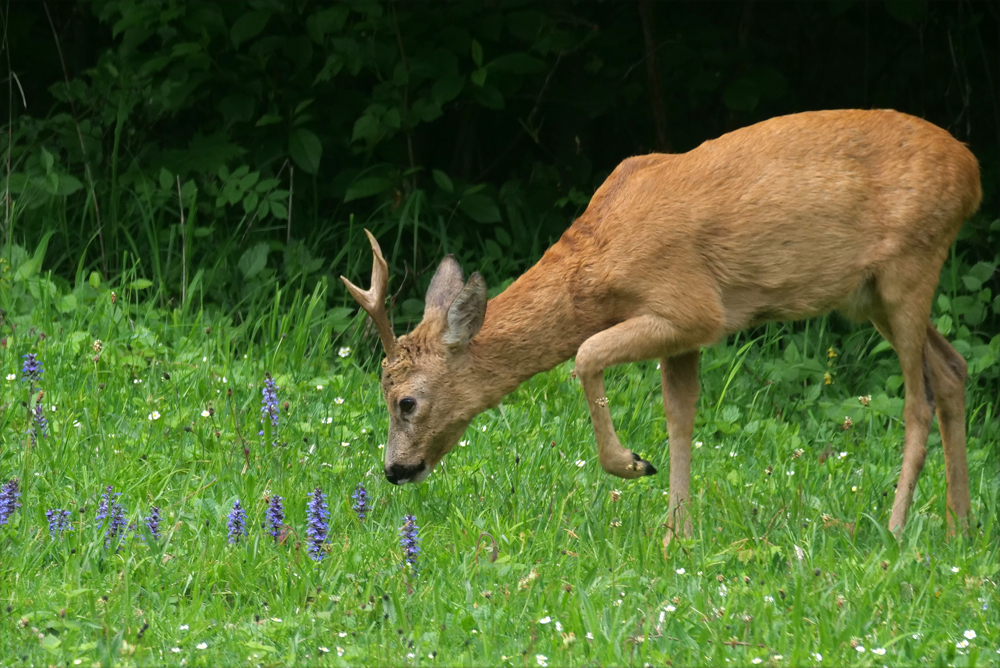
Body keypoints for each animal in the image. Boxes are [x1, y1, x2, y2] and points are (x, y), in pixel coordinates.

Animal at [342, 109, 976, 544]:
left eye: (405, 401)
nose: (395, 469)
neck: (602, 259)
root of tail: (972, 172)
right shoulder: (685, 335)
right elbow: (680, 414)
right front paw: (677, 532)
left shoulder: (693, 308)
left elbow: (587, 354)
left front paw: (631, 466)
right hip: (872, 297)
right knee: (953, 368)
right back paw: (958, 527)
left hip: (909, 267)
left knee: (917, 399)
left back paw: (896, 530)